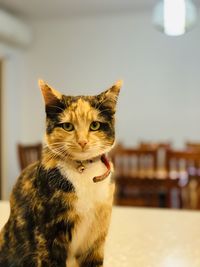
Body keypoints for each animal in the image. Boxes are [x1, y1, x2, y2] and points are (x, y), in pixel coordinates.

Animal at [0, 80, 122, 267]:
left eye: (95, 125)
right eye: (67, 126)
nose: (82, 142)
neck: (83, 170)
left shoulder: (97, 237)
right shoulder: (47, 233)